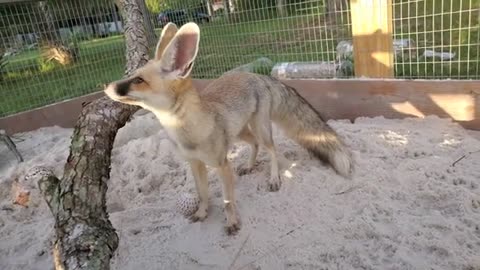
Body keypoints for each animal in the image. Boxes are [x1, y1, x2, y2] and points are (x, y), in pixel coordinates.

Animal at [104, 21, 352, 234]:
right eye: (131, 76)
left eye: (139, 80)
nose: (106, 87)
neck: (187, 133)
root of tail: (257, 75)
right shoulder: (195, 164)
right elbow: (203, 194)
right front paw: (202, 213)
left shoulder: (222, 164)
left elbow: (227, 200)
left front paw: (232, 222)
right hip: (240, 133)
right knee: (254, 145)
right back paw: (249, 166)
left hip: (260, 129)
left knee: (272, 150)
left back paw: (274, 178)